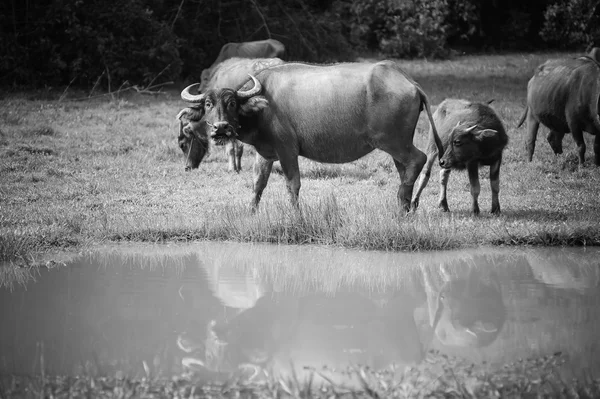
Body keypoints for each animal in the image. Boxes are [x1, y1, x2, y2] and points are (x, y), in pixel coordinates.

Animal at [178, 59, 446, 214]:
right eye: (209, 104)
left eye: (232, 103)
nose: (221, 128)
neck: (263, 107)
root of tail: (409, 82)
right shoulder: (266, 153)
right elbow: (258, 183)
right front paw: (251, 212)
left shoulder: (287, 150)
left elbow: (292, 184)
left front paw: (296, 215)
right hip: (397, 145)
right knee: (405, 169)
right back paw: (405, 207)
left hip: (393, 141)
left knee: (418, 160)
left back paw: (403, 205)